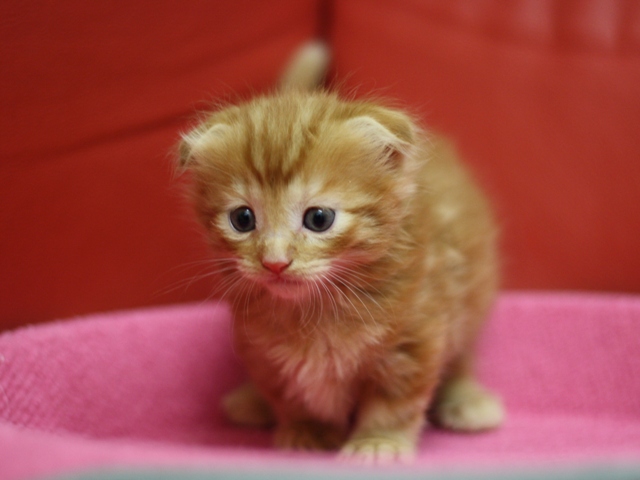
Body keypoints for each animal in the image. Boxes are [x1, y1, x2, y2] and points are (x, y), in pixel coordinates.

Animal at [178, 43, 502, 464]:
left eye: (319, 219)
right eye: (242, 219)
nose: (275, 262)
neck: (318, 309)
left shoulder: (416, 337)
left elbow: (395, 402)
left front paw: (378, 442)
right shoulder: (261, 349)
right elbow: (290, 392)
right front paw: (308, 430)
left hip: (468, 301)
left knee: (461, 357)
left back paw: (467, 400)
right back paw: (251, 401)